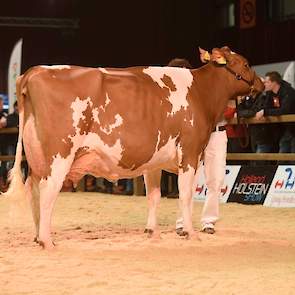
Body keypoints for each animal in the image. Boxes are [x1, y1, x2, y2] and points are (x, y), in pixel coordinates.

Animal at [4, 46, 264, 250]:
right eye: (246, 63)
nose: (261, 84)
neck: (200, 92)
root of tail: (35, 71)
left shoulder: (154, 161)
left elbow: (154, 196)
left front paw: (152, 232)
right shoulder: (190, 154)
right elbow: (186, 196)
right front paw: (190, 233)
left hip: (36, 159)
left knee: (33, 191)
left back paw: (37, 237)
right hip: (59, 156)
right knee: (48, 192)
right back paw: (47, 241)